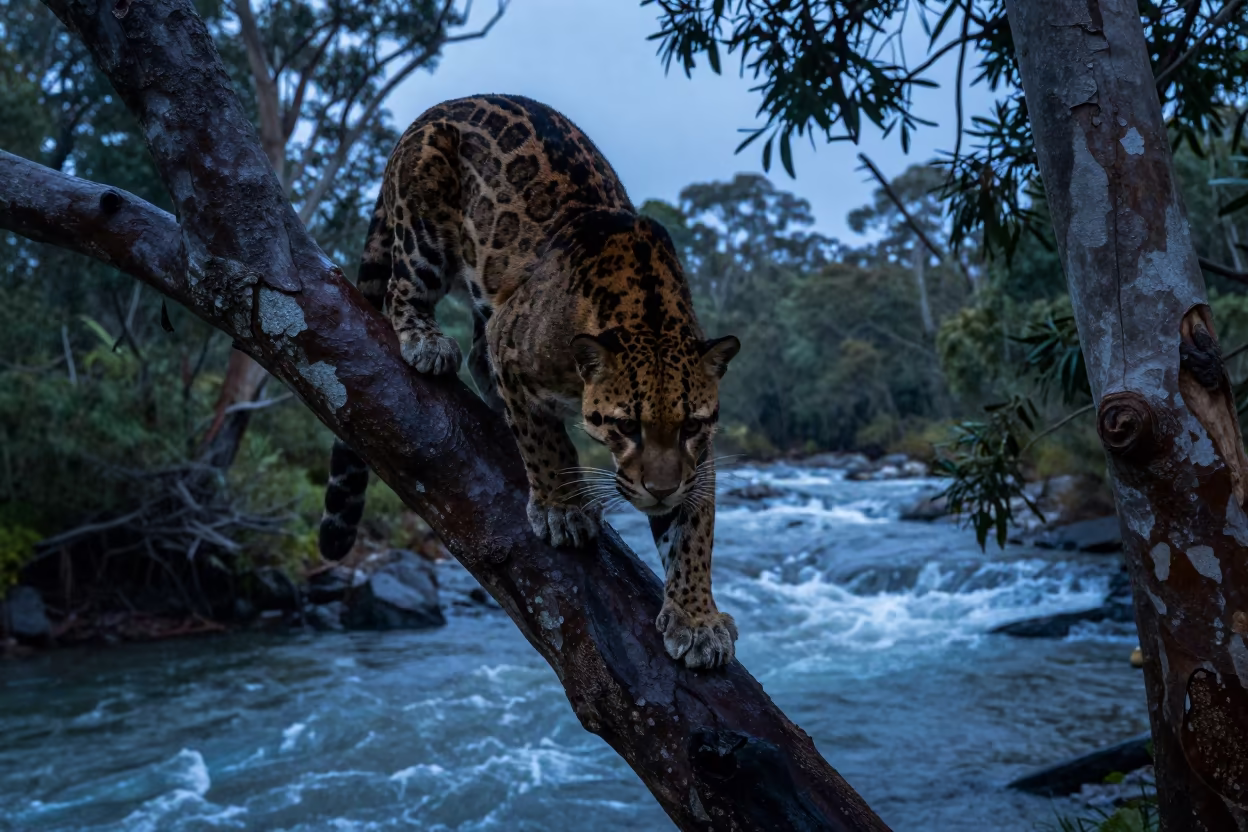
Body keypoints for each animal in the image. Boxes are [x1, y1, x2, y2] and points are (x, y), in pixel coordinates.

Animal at [319, 94, 741, 669]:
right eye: (626, 427)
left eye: (691, 426)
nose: (659, 491)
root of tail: (435, 109)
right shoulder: (513, 347)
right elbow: (544, 442)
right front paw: (562, 509)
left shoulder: (699, 456)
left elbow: (694, 532)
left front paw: (697, 620)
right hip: (425, 222)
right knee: (401, 291)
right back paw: (426, 342)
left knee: (475, 351)